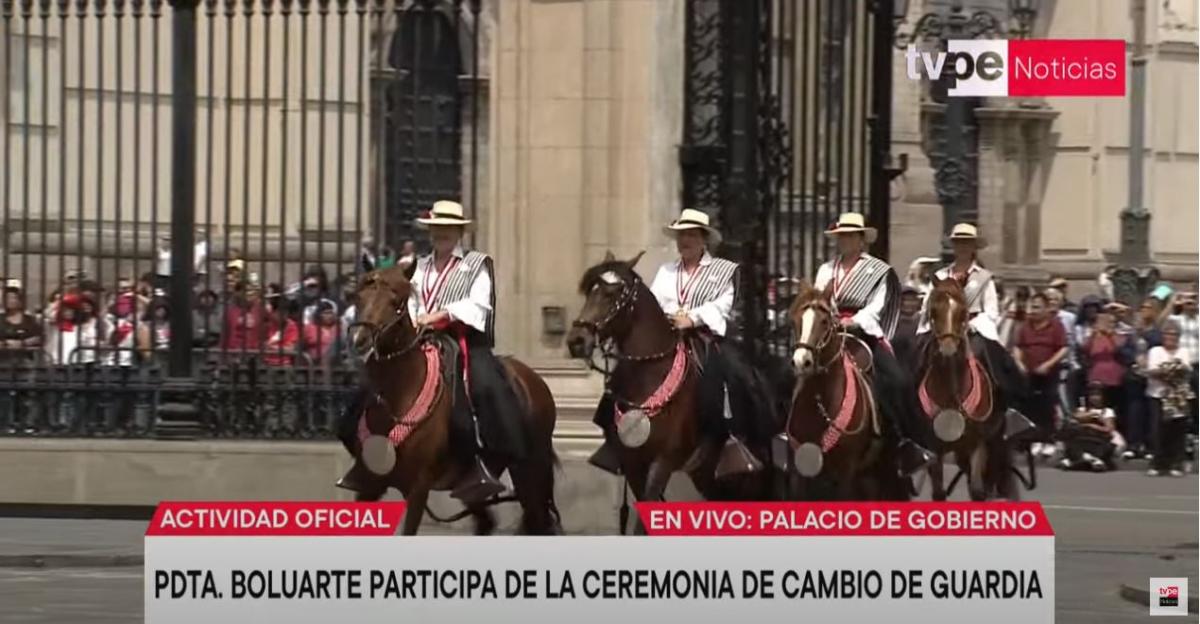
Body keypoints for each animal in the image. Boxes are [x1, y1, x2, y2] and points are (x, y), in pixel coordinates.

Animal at [348, 265, 561, 532]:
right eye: (359, 297)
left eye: (396, 302)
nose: (359, 338)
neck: (398, 396)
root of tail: (536, 380)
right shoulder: (370, 484)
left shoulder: (418, 487)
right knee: (488, 521)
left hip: (529, 471)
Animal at [561, 250, 768, 528]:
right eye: (589, 291)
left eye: (612, 293)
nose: (576, 341)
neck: (649, 374)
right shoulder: (633, 464)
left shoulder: (664, 460)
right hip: (706, 472)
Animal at [916, 276, 1012, 499]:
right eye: (933, 310)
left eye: (963, 311)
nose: (948, 350)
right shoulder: (934, 447)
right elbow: (938, 492)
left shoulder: (978, 443)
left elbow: (978, 491)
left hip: (993, 441)